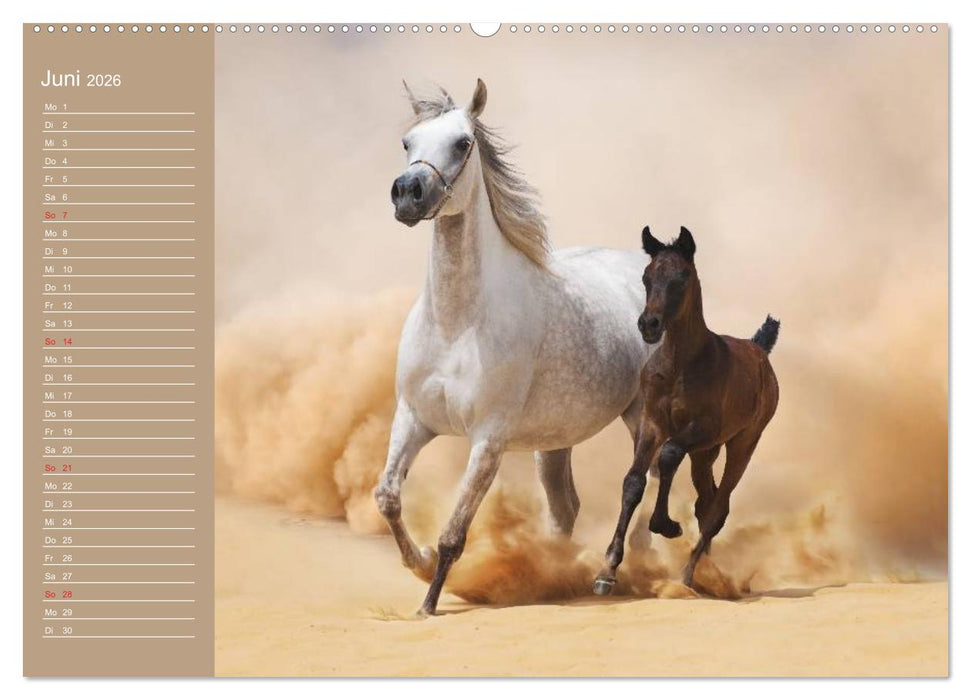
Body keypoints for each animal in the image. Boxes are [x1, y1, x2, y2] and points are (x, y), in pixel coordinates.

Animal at [374, 78, 653, 617]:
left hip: (642, 417)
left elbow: (454, 533)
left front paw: (428, 604)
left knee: (642, 487)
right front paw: (417, 562)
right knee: (565, 508)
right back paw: (555, 578)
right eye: (407, 141)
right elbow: (388, 497)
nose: (408, 195)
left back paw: (617, 574)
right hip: (555, 440)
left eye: (462, 142)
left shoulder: (489, 440)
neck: (456, 324)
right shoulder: (413, 419)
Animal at [593, 226, 780, 595]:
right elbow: (633, 482)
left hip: (742, 442)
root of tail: (759, 349)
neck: (680, 363)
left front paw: (666, 525)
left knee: (718, 507)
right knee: (705, 502)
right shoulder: (651, 423)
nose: (648, 324)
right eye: (646, 276)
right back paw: (707, 569)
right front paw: (607, 571)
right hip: (705, 454)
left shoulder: (700, 429)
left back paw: (688, 574)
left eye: (681, 277)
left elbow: (668, 456)